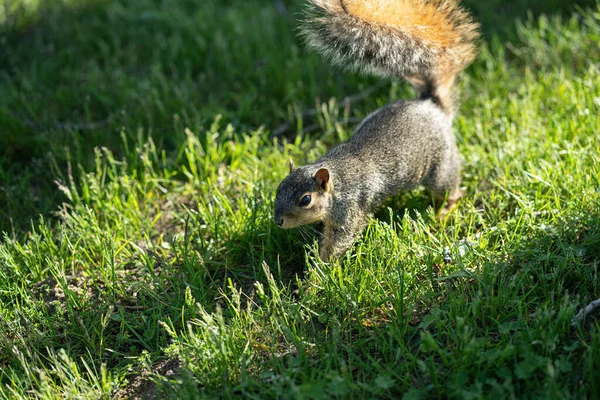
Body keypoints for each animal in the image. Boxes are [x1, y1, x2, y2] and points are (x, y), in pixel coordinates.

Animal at [274, 0, 480, 260]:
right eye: (279, 188)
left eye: (306, 199)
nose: (277, 221)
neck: (337, 182)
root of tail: (432, 105)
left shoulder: (350, 209)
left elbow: (340, 240)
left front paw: (321, 267)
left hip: (440, 168)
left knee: (449, 190)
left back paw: (442, 213)